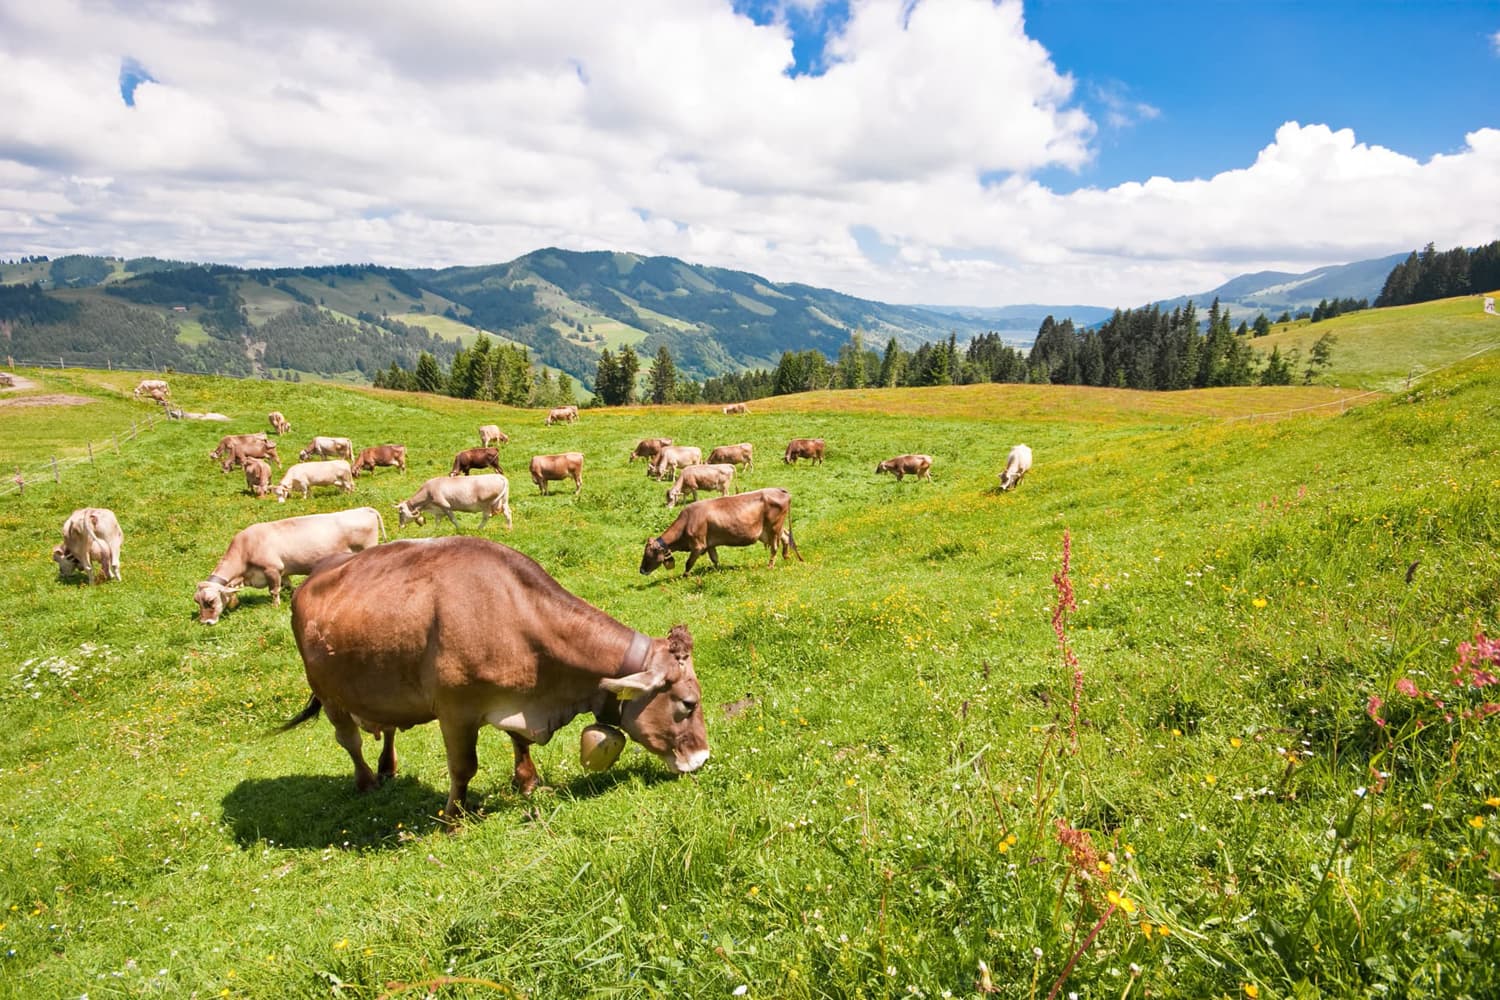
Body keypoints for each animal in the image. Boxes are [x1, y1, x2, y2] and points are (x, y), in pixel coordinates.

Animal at [190, 509, 387, 626]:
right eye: (197, 601)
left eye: (210, 601)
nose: (205, 622)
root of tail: (364, 509)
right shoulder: (283, 571)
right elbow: (288, 586)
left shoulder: (272, 569)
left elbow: (274, 591)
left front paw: (275, 606)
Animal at [279, 539, 711, 821]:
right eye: (688, 704)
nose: (703, 758)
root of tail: (311, 577)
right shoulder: (455, 711)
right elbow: (463, 767)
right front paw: (453, 816)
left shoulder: (517, 697)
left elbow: (520, 742)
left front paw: (529, 782)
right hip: (328, 694)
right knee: (349, 740)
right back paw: (367, 780)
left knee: (386, 729)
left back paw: (387, 768)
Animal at [639, 485, 804, 575]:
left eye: (647, 555)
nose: (641, 570)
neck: (687, 521)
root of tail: (780, 490)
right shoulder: (710, 545)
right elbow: (715, 559)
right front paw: (718, 571)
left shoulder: (698, 546)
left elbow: (688, 563)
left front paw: (684, 576)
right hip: (773, 529)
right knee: (786, 536)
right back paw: (786, 557)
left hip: (773, 528)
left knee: (775, 546)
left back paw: (770, 566)